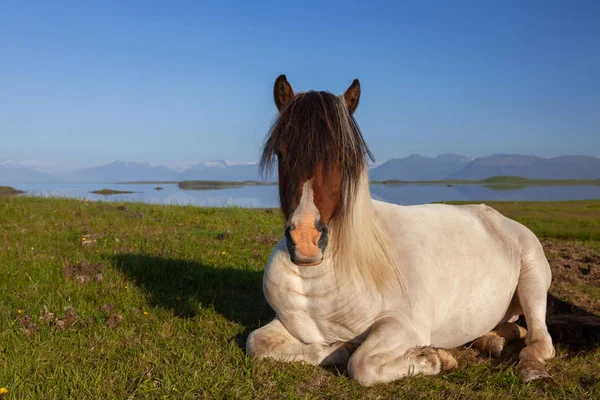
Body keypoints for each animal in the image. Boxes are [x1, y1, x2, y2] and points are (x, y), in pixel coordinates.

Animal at [246, 74, 556, 384]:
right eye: (281, 153)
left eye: (341, 156)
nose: (305, 241)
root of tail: (494, 216)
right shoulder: (289, 325)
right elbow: (257, 343)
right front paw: (338, 348)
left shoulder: (404, 326)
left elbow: (362, 364)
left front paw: (433, 359)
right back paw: (493, 340)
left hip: (533, 279)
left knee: (541, 341)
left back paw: (531, 367)